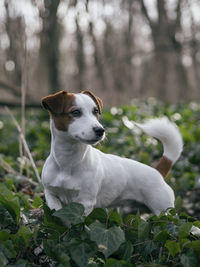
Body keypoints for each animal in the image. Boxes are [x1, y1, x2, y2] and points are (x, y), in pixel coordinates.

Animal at [41, 91, 183, 217]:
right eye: (75, 112)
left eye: (95, 111)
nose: (100, 130)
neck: (68, 163)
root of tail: (157, 172)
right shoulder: (51, 195)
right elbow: (57, 214)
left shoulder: (85, 202)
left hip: (165, 212)